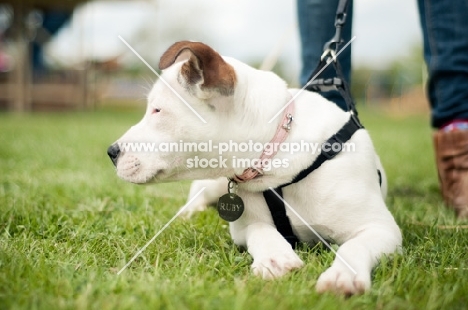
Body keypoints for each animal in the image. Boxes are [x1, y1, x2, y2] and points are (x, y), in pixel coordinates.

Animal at [108, 41, 400, 296]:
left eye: (157, 110)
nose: (111, 152)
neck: (277, 156)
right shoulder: (241, 227)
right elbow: (260, 229)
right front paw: (275, 257)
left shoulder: (383, 229)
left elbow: (354, 247)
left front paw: (344, 275)